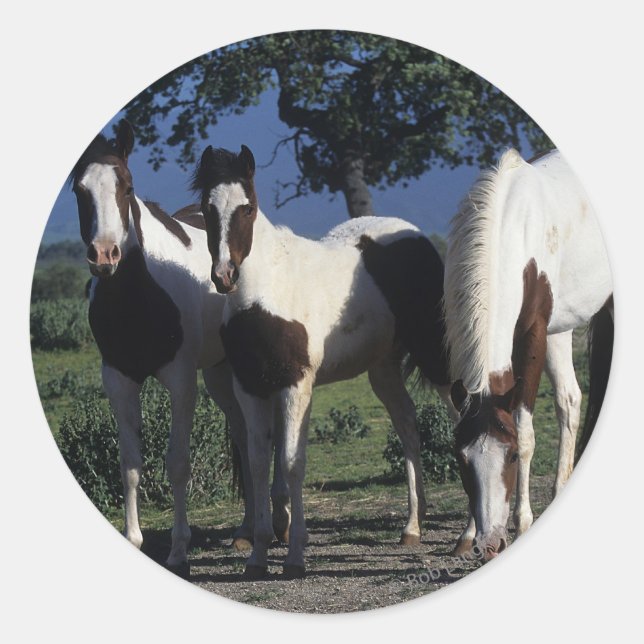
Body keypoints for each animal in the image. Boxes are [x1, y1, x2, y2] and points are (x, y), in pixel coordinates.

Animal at [69, 120, 291, 577]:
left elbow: (177, 463)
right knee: (243, 437)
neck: (139, 296)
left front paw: (179, 551)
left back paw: (279, 522)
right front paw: (134, 540)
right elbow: (129, 464)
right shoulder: (118, 379)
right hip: (222, 375)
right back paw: (246, 530)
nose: (104, 255)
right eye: (79, 189)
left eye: (127, 185)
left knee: (273, 434)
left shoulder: (181, 380)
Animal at [192, 143, 455, 579]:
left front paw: (296, 556)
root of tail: (414, 236)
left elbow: (292, 462)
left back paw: (474, 532)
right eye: (206, 209)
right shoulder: (249, 387)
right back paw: (413, 528)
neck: (266, 292)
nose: (224, 275)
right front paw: (257, 556)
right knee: (408, 427)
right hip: (383, 369)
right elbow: (258, 463)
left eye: (247, 208)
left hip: (437, 356)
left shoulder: (296, 385)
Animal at [443, 148, 613, 561]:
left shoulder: (533, 334)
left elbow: (524, 429)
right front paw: (467, 533)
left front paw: (521, 522)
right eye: (462, 461)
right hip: (560, 329)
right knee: (570, 400)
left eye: (511, 457)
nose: (490, 544)